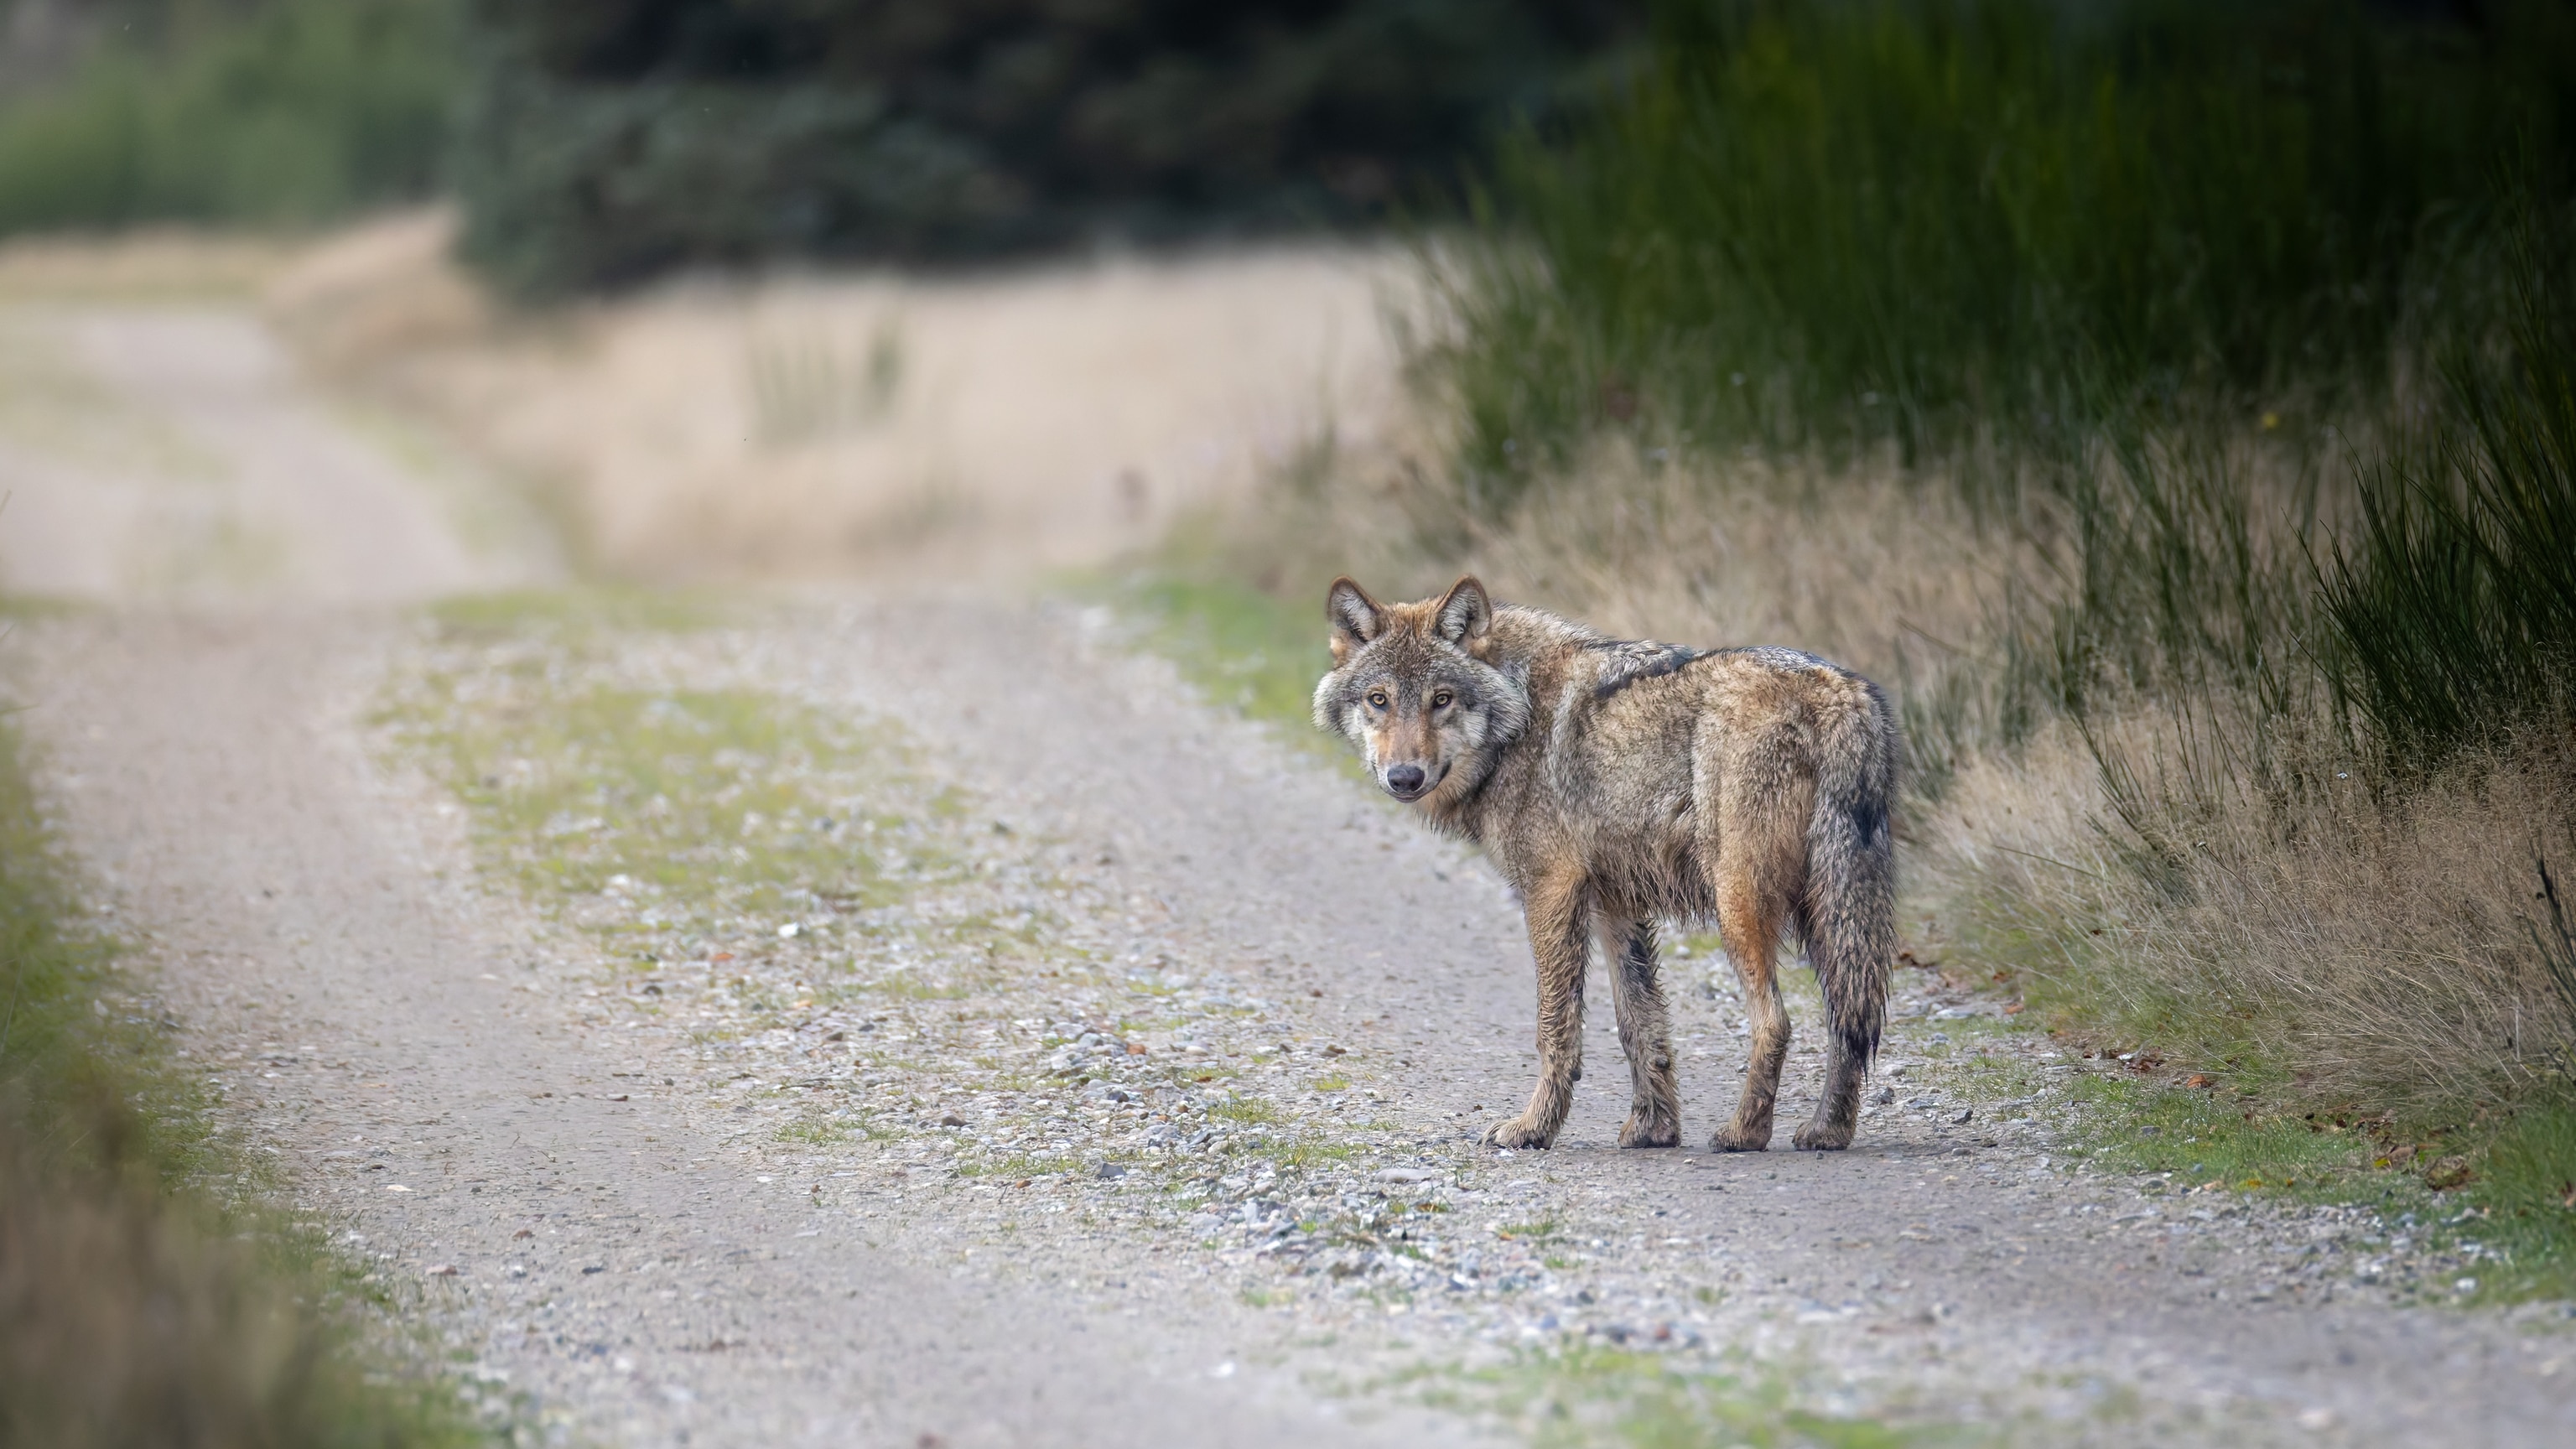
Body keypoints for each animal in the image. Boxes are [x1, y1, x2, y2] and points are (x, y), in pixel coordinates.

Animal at [1311, 576, 1899, 1153]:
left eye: (1442, 699)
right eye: (1379, 700)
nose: (1404, 777)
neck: (1519, 715)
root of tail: (1841, 693)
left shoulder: (1551, 889)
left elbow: (1555, 1026)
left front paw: (1534, 1128)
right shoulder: (1615, 905)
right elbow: (1639, 1024)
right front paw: (1653, 1130)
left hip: (1741, 906)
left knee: (1777, 1021)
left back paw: (1744, 1133)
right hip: (1827, 914)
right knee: (1849, 1022)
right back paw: (1828, 1131)